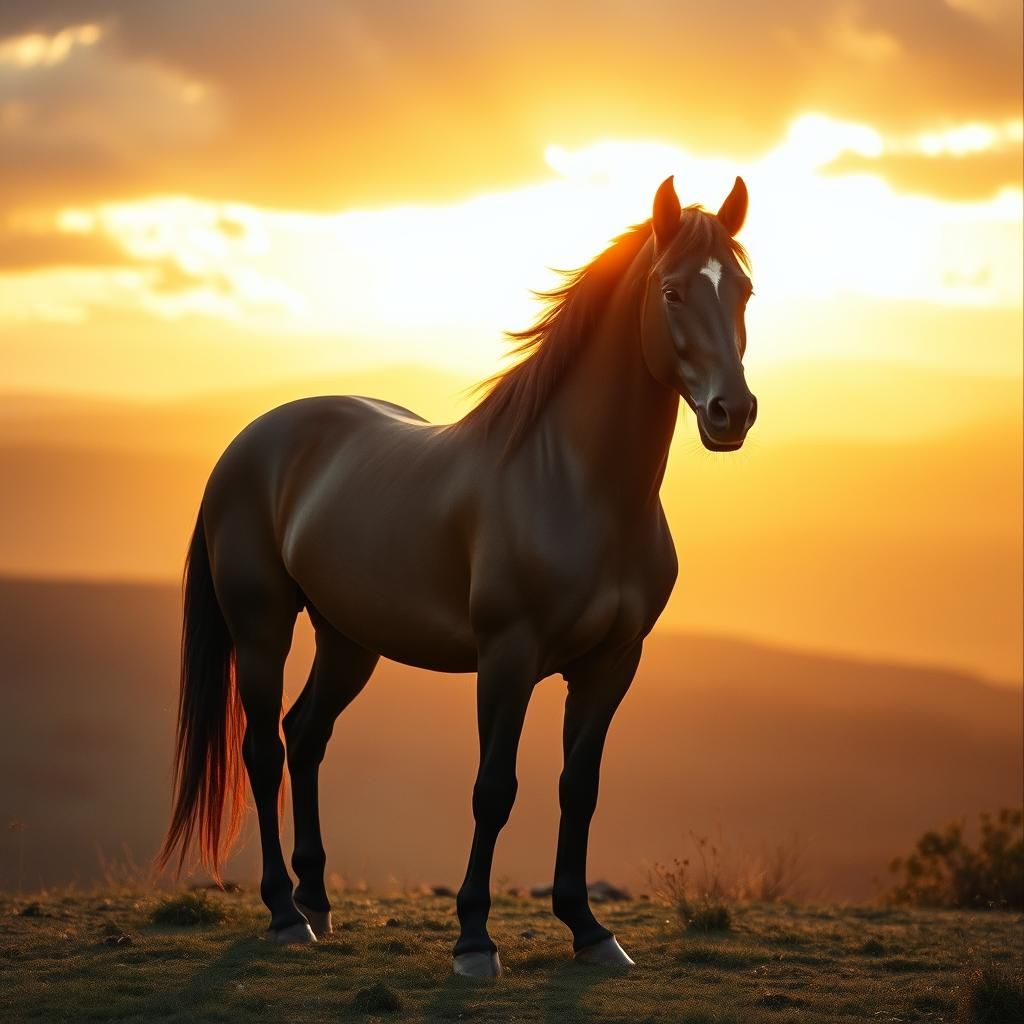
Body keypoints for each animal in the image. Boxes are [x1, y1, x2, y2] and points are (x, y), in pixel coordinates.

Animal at [157, 175, 757, 976]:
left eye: (744, 290)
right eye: (672, 291)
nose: (732, 413)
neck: (578, 486)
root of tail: (248, 443)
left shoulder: (611, 664)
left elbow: (580, 789)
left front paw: (589, 930)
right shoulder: (507, 658)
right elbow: (493, 790)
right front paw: (474, 939)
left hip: (349, 640)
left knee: (306, 734)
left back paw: (316, 903)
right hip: (261, 632)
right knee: (265, 748)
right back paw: (285, 914)